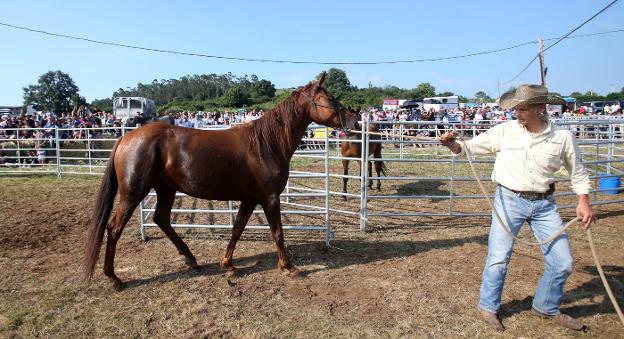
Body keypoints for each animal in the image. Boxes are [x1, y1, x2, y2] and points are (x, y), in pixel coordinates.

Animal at [85, 73, 358, 288]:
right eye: (330, 98)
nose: (354, 120)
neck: (267, 144)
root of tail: (125, 138)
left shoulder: (250, 199)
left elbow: (237, 229)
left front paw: (227, 264)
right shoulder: (270, 198)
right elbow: (277, 232)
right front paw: (288, 267)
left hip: (165, 189)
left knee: (161, 219)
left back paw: (191, 259)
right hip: (133, 192)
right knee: (114, 228)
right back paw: (113, 277)